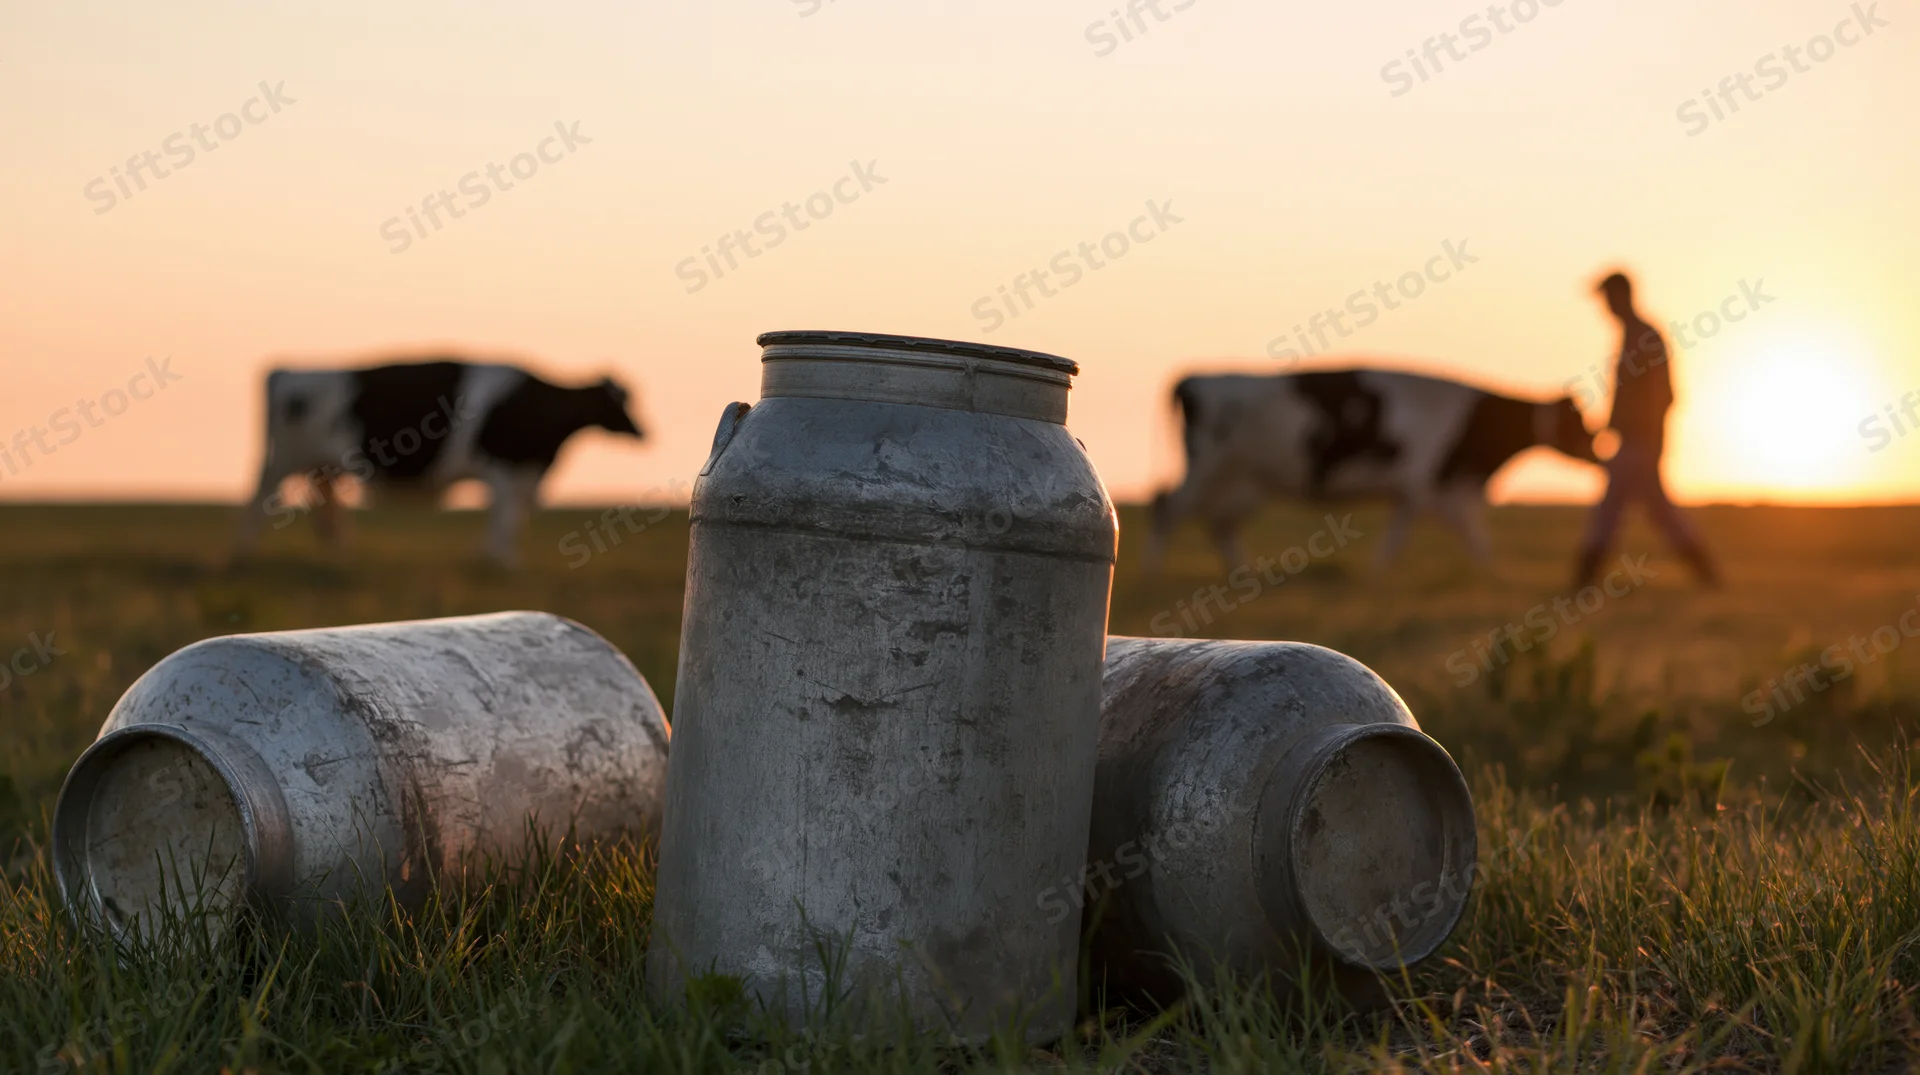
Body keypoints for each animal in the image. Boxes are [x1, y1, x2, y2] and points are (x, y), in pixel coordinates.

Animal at [234, 358, 644, 567]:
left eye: (628, 398)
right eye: (615, 402)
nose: (644, 432)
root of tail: (290, 370)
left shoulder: (523, 474)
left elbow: (512, 521)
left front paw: (500, 559)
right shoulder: (504, 471)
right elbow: (504, 519)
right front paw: (500, 561)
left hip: (323, 465)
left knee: (327, 504)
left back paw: (338, 552)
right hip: (283, 460)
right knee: (260, 499)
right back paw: (244, 555)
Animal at [1146, 367, 1599, 573]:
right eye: (1578, 421)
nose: (1600, 448)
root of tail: (1195, 377)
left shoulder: (1436, 490)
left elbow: (1468, 536)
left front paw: (1491, 574)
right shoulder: (1423, 485)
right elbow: (1416, 537)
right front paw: (1380, 573)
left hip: (1247, 479)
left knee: (1219, 524)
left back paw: (1243, 573)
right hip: (1209, 465)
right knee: (1167, 507)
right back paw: (1156, 575)